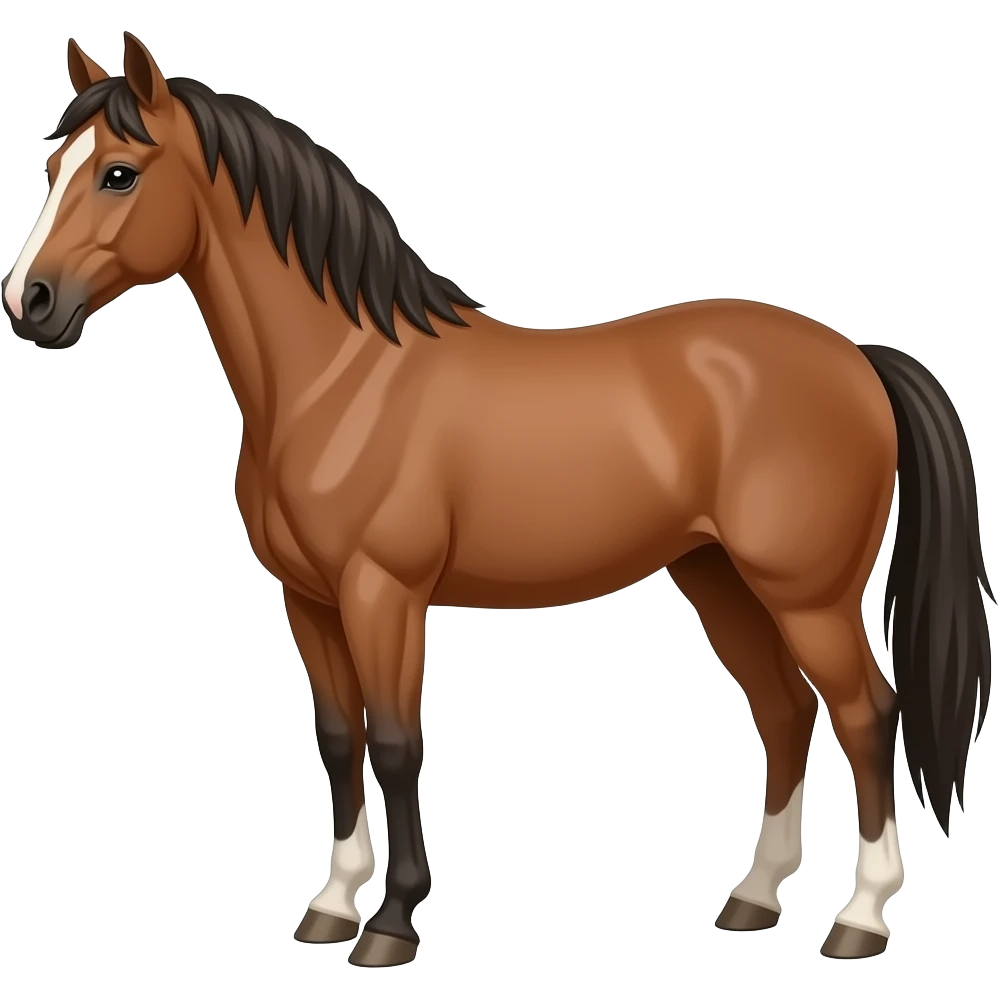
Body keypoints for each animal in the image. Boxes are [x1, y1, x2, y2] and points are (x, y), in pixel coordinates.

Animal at [3, 32, 992, 966]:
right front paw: (331, 905)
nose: (30, 302)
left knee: (866, 714)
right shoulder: (308, 599)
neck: (342, 377)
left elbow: (396, 741)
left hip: (807, 595)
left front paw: (392, 923)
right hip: (719, 578)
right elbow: (338, 738)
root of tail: (858, 357)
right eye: (54, 168)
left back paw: (859, 917)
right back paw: (753, 899)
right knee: (784, 711)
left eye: (120, 173)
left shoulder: (383, 594)